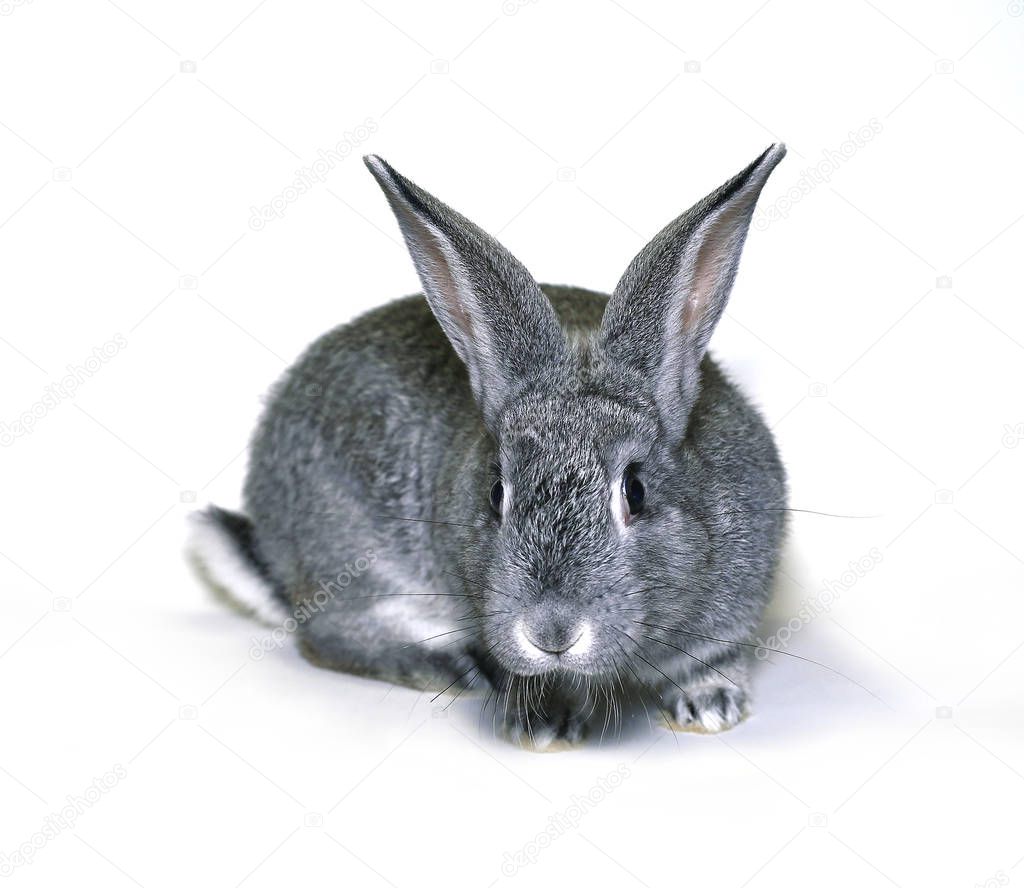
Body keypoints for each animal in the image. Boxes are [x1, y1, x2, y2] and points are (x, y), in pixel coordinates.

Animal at [186, 144, 790, 749]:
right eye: (496, 494)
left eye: (635, 491)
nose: (552, 632)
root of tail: (272, 551)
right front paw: (542, 720)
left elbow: (712, 660)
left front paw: (710, 706)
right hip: (353, 554)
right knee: (325, 633)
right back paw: (447, 666)